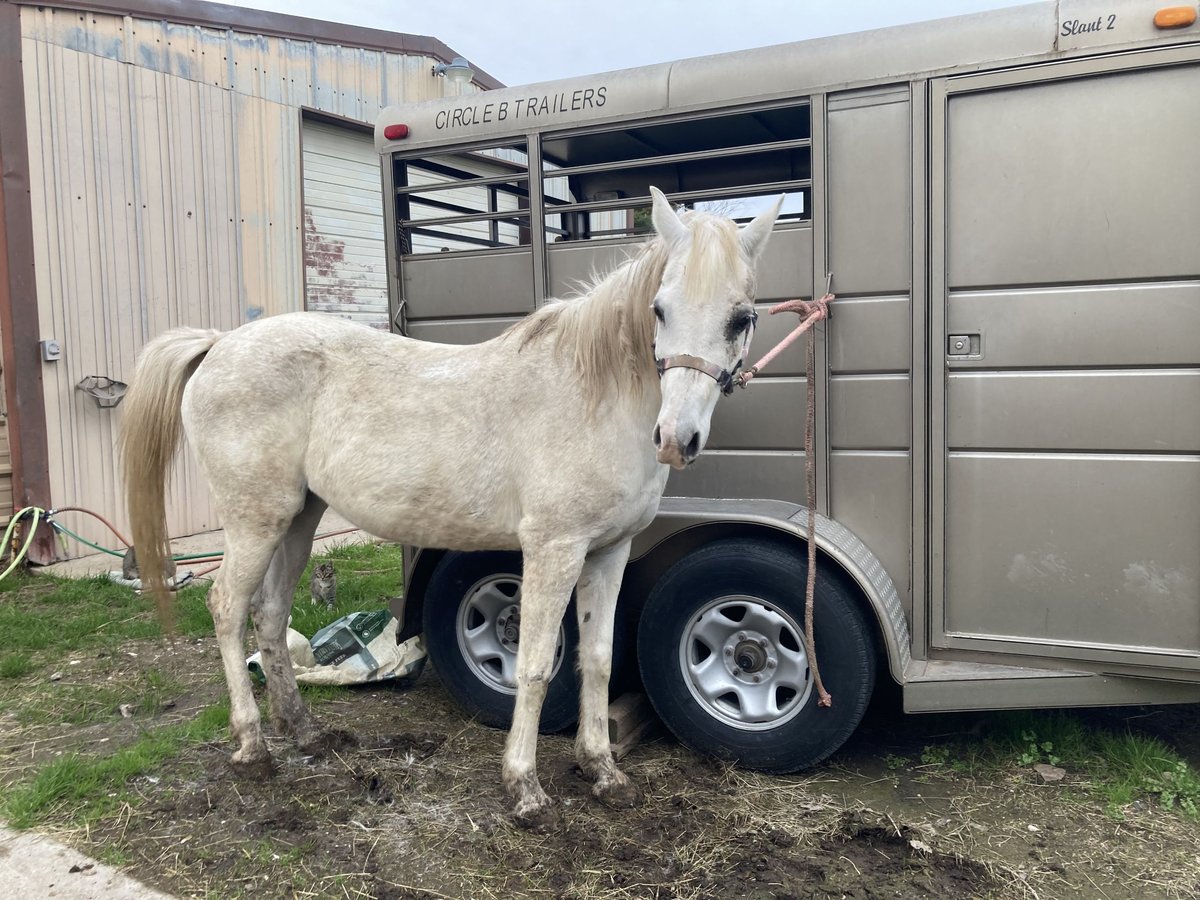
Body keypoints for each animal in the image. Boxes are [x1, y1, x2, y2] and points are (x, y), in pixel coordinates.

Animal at [119, 188, 777, 830]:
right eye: (660, 310)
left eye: (741, 318)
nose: (675, 439)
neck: (594, 394)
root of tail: (218, 345)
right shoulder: (554, 549)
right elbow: (533, 666)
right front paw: (525, 788)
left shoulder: (609, 552)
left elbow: (597, 658)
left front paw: (603, 773)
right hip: (255, 520)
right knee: (228, 608)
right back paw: (253, 748)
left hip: (298, 521)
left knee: (270, 615)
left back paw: (305, 733)